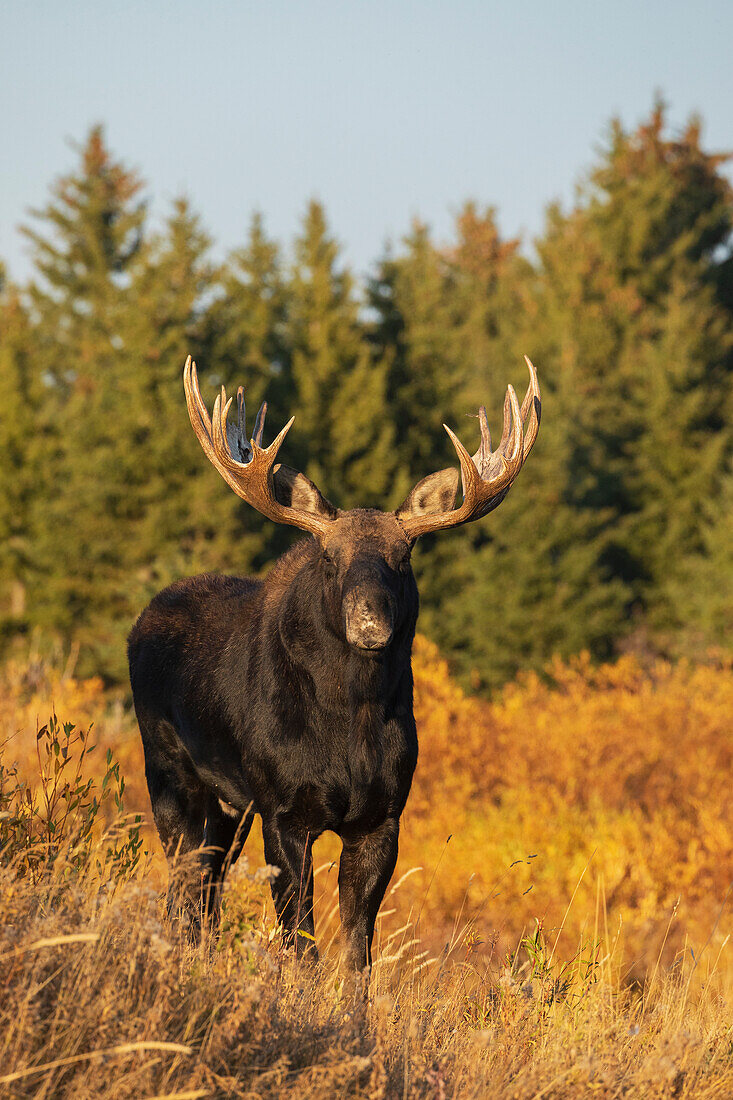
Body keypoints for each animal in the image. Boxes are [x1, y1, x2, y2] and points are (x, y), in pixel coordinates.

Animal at [127, 352, 537, 972]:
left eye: (403, 556)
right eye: (329, 557)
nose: (370, 622)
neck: (351, 725)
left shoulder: (381, 817)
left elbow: (357, 950)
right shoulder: (282, 810)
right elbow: (302, 945)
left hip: (228, 806)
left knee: (207, 889)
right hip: (169, 773)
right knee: (184, 887)